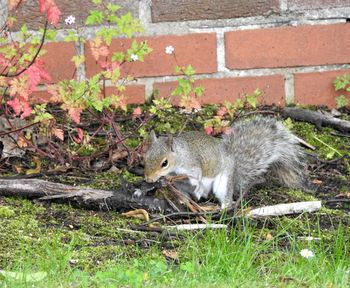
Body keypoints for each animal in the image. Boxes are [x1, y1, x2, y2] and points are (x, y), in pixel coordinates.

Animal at [144, 117, 308, 209]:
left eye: (164, 163)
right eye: (145, 157)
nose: (148, 179)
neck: (180, 157)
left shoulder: (193, 164)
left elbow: (198, 176)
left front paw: (197, 186)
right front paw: (163, 181)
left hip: (224, 182)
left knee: (226, 198)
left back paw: (222, 206)